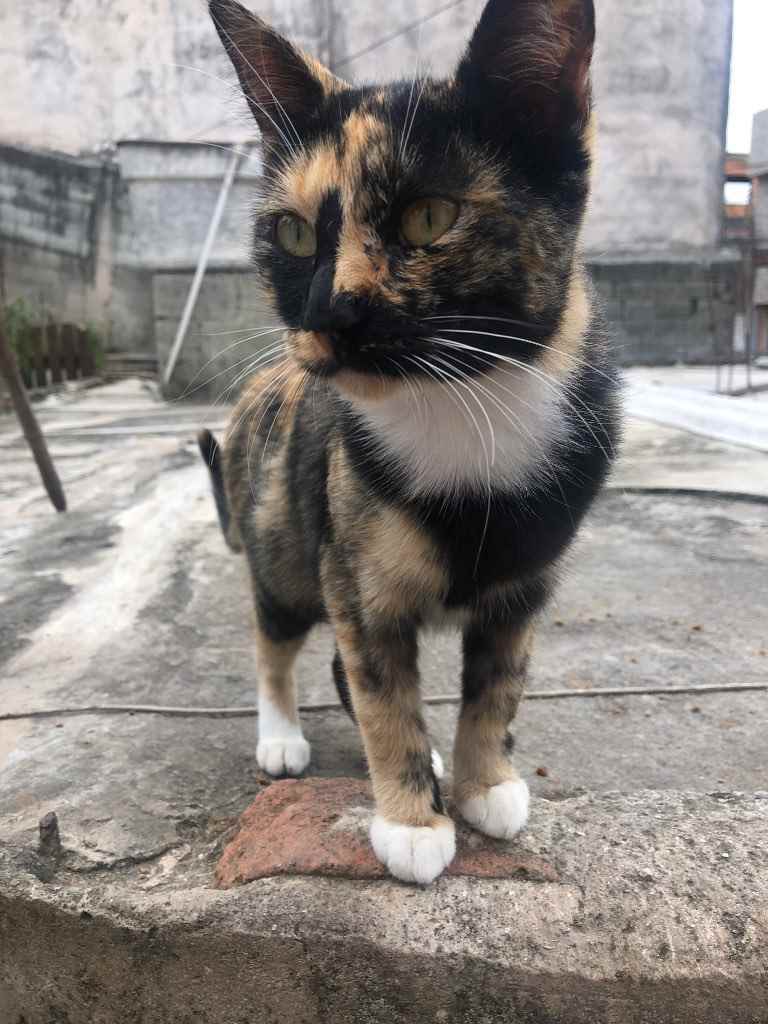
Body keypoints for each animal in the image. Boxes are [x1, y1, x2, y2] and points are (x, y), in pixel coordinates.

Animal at [200, 0, 621, 884]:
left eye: (429, 217)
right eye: (293, 234)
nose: (329, 311)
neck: (458, 407)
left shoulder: (529, 582)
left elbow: (499, 684)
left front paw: (483, 782)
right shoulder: (357, 575)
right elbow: (383, 694)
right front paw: (412, 823)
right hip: (287, 533)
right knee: (276, 634)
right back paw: (281, 735)